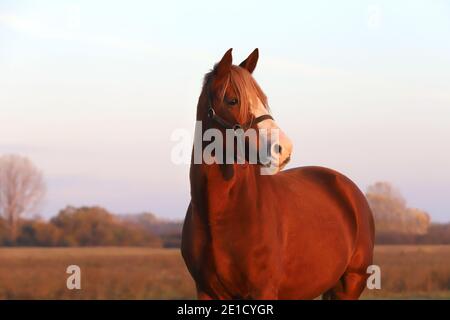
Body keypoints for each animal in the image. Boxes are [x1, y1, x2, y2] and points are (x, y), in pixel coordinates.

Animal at [181, 48, 374, 298]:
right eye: (232, 101)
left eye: (264, 101)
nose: (284, 148)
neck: (220, 215)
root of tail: (349, 189)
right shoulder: (206, 291)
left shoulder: (263, 290)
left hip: (350, 283)